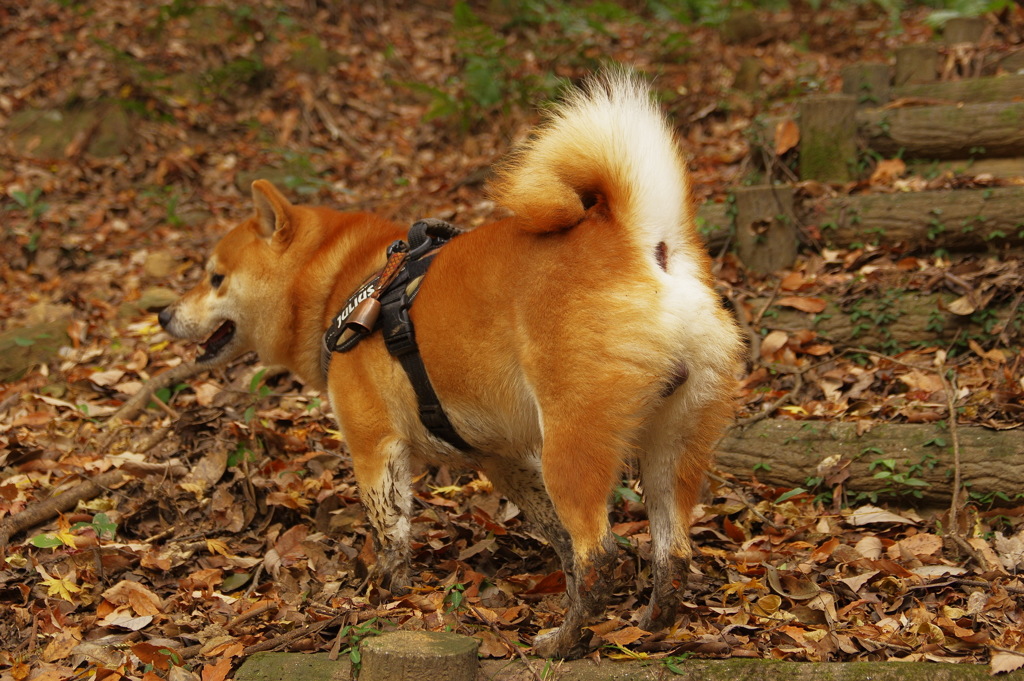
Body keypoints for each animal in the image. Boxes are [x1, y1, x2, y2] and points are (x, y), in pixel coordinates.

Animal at [155, 71, 741, 655]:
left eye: (214, 278)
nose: (162, 313)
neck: (341, 283)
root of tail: (644, 246)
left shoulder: (375, 447)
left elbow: (391, 534)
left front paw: (385, 595)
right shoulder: (502, 458)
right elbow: (556, 537)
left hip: (574, 446)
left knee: (602, 556)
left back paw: (564, 641)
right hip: (671, 450)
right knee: (672, 553)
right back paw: (649, 628)